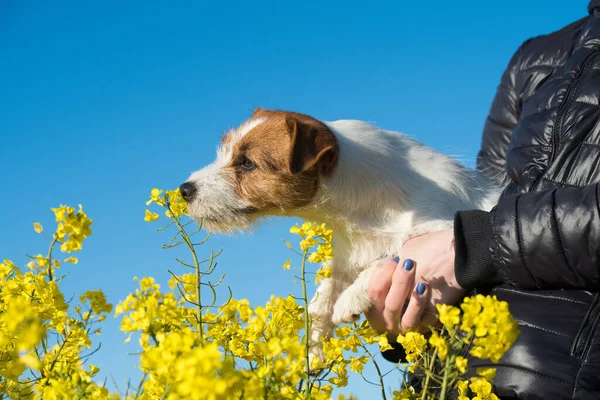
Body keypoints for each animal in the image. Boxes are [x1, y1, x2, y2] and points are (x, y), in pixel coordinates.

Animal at [179, 108, 502, 360]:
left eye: (246, 162)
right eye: (224, 152)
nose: (184, 190)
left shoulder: (446, 231)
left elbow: (396, 254)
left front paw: (350, 300)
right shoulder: (346, 255)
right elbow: (323, 296)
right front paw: (313, 348)